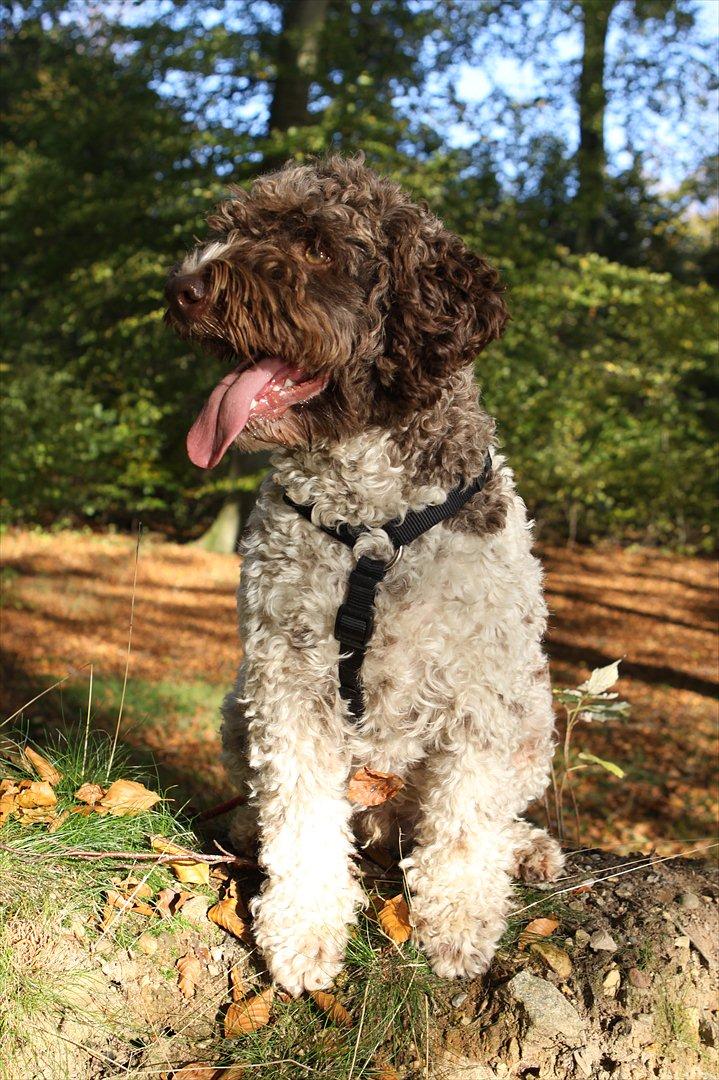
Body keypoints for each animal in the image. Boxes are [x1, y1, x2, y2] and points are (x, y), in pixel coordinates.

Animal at [165, 152, 561, 993]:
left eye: (317, 245)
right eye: (229, 227)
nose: (183, 286)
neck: (371, 527)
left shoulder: (480, 686)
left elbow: (466, 820)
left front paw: (459, 923)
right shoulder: (289, 674)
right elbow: (300, 813)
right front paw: (304, 929)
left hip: (532, 719)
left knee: (484, 814)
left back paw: (525, 848)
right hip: (237, 702)